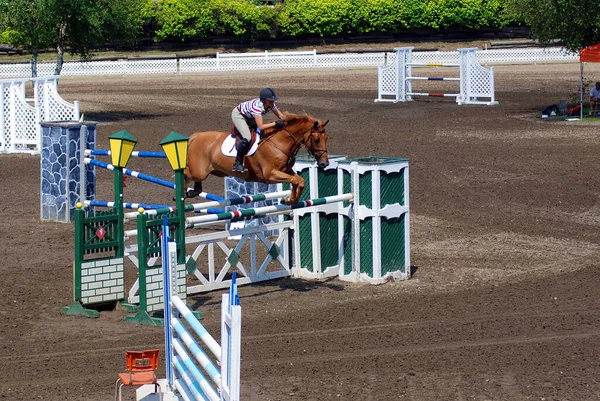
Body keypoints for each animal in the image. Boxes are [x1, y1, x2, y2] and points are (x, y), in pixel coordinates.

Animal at [185, 112, 330, 206]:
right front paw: (289, 199)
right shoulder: (270, 175)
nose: (325, 163)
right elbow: (295, 180)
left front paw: (289, 199)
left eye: (326, 138)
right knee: (186, 174)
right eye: (316, 139)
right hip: (199, 172)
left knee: (197, 187)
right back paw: (183, 194)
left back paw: (190, 193)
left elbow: (299, 181)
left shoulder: (286, 171)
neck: (279, 142)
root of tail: (196, 136)